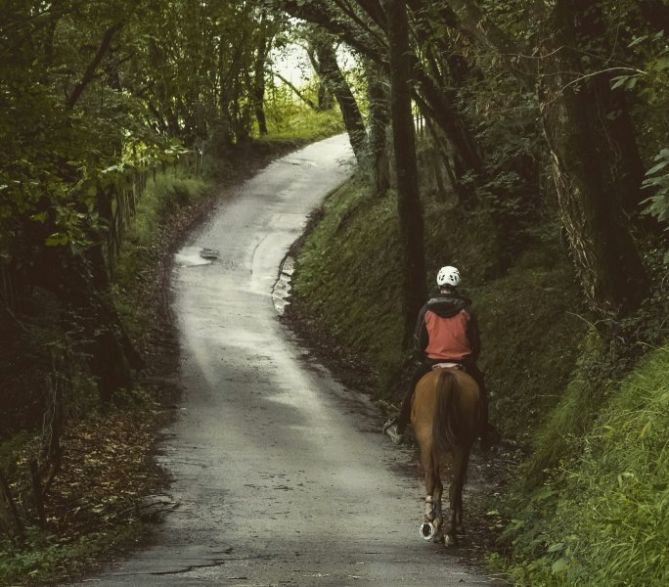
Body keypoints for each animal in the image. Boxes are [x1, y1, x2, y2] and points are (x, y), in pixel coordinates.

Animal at [408, 366, 480, 548]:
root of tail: (447, 373)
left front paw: (438, 523)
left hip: (428, 439)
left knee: (432, 477)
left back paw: (432, 522)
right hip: (460, 444)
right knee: (453, 484)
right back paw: (449, 530)